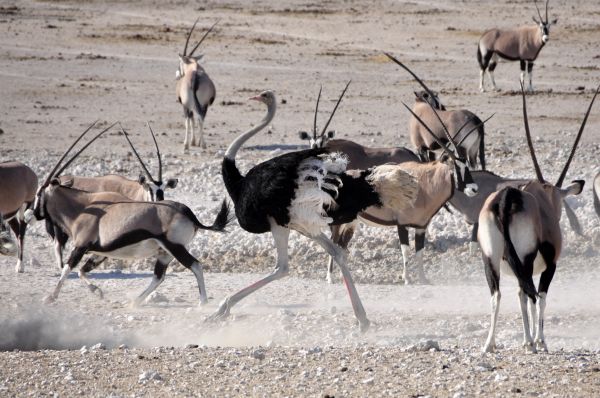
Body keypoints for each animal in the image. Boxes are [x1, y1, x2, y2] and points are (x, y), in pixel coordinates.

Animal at [24, 123, 230, 306]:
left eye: (38, 194)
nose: (27, 215)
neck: (83, 207)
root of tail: (187, 212)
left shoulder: (81, 246)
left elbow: (67, 269)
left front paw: (51, 297)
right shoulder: (99, 252)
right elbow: (83, 271)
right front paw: (97, 291)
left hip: (175, 247)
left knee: (195, 266)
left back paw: (202, 302)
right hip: (165, 253)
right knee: (159, 276)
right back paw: (136, 302)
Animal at [176, 18, 218, 151]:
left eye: (180, 62)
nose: (178, 75)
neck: (193, 68)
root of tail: (195, 77)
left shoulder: (186, 104)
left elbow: (190, 121)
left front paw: (192, 142)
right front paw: (196, 142)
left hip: (187, 105)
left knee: (189, 119)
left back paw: (186, 145)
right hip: (203, 104)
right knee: (201, 118)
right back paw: (202, 144)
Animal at [213, 85, 420, 332]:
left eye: (264, 95)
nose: (254, 97)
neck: (237, 183)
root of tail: (367, 185)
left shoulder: (278, 221)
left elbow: (281, 268)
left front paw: (222, 308)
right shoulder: (300, 225)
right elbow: (333, 253)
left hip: (297, 217)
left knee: (288, 265)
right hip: (311, 221)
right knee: (338, 252)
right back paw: (363, 320)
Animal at [478, 84, 596, 354]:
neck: (543, 198)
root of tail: (506, 198)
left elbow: (520, 296)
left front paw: (526, 339)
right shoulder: (550, 265)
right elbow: (540, 297)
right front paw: (539, 340)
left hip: (491, 259)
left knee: (498, 294)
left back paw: (490, 344)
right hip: (526, 259)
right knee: (530, 293)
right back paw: (532, 343)